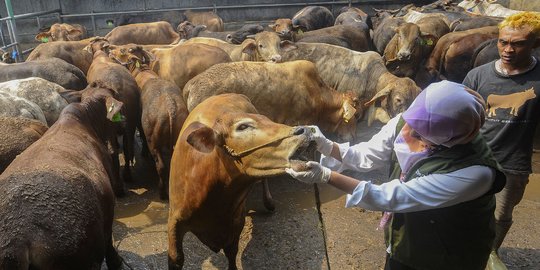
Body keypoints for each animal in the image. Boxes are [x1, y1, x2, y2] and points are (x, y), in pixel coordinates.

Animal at [85, 38, 143, 194]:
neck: (100, 54)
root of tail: (117, 90)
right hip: (131, 120)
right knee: (128, 147)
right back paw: (127, 175)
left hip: (109, 125)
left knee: (113, 151)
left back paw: (118, 186)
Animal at [107, 44, 190, 200]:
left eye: (122, 50)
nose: (109, 51)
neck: (141, 70)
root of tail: (171, 109)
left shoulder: (139, 123)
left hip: (154, 140)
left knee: (161, 166)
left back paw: (162, 192)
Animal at [169, 93, 312, 270]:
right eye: (243, 126)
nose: (304, 129)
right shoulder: (174, 220)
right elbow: (176, 258)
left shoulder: (236, 221)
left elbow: (232, 252)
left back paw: (269, 202)